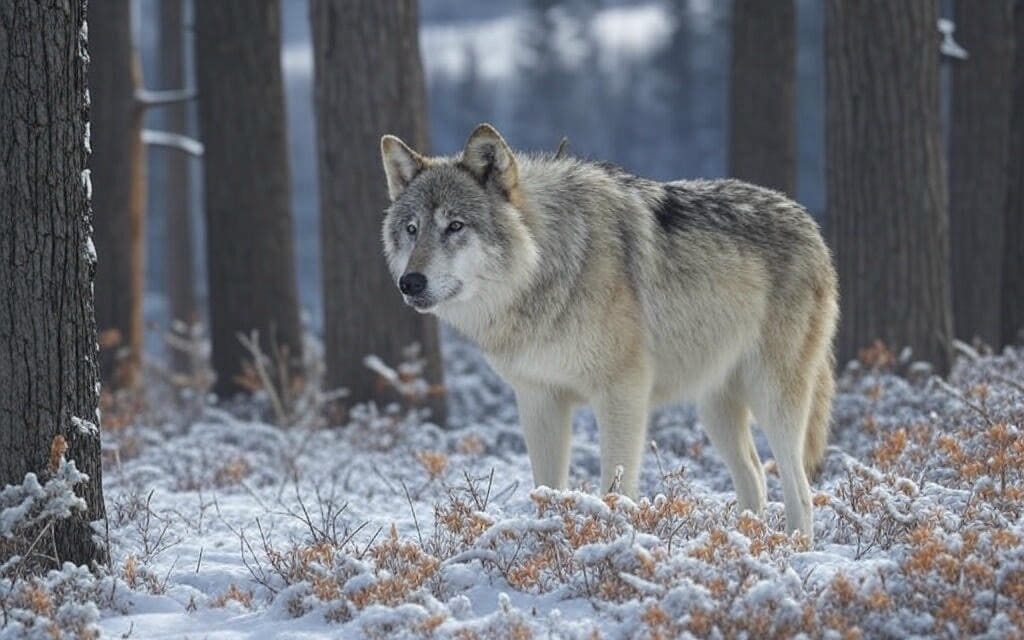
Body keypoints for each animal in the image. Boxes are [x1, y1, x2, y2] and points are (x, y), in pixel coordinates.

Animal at [379, 124, 838, 539]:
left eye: (455, 226)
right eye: (412, 229)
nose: (409, 283)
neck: (547, 268)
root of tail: (808, 222)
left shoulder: (622, 394)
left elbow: (616, 489)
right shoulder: (538, 399)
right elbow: (545, 490)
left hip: (772, 399)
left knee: (799, 490)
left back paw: (792, 550)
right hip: (714, 408)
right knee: (755, 477)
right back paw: (747, 545)